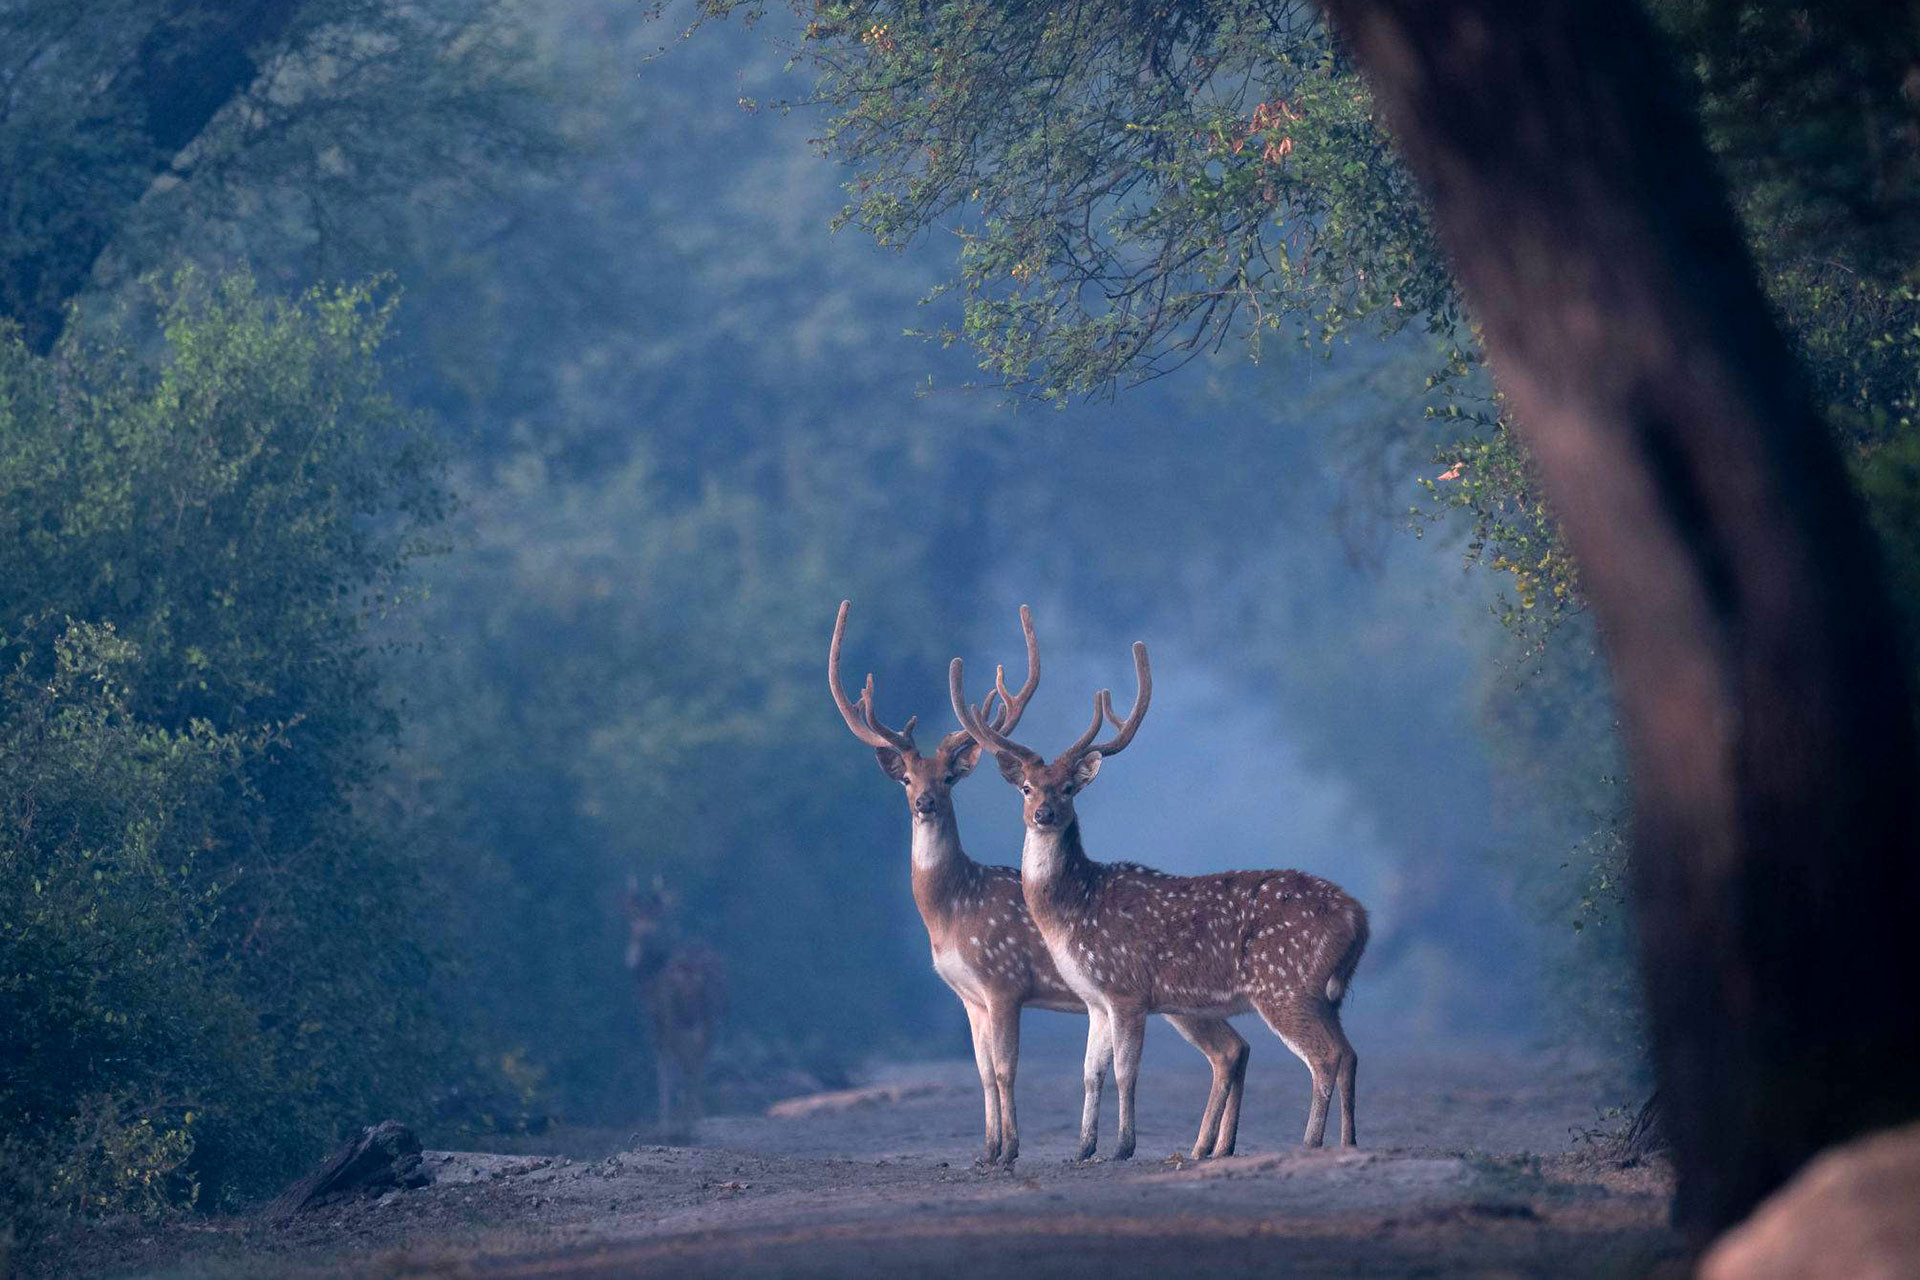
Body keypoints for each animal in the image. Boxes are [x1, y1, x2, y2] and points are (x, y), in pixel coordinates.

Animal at [624, 876, 727, 1141]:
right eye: (635, 916)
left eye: (654, 915)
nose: (643, 934)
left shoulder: (655, 1020)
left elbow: (663, 1066)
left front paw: (664, 1125)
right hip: (713, 1015)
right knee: (699, 1061)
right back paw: (697, 1119)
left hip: (677, 1016)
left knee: (687, 1063)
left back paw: (689, 1123)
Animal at [830, 601, 1251, 1166]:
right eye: (907, 779)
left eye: (948, 778)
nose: (926, 803)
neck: (951, 909)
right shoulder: (969, 996)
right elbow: (983, 1072)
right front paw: (987, 1151)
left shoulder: (1003, 981)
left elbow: (1006, 1068)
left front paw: (1009, 1151)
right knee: (1234, 1048)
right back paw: (1214, 1147)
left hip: (1175, 998)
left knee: (1228, 1048)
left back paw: (1207, 1146)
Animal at [951, 640, 1369, 1159]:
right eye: (1027, 788)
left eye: (1068, 789)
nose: (1044, 814)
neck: (1073, 909)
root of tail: (1360, 918)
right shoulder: (1095, 999)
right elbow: (1090, 1072)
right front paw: (1083, 1148)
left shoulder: (1126, 989)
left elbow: (1126, 1072)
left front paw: (1123, 1146)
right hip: (1325, 995)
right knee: (1349, 1053)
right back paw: (1347, 1141)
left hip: (1285, 985)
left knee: (1324, 1056)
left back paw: (1309, 1142)